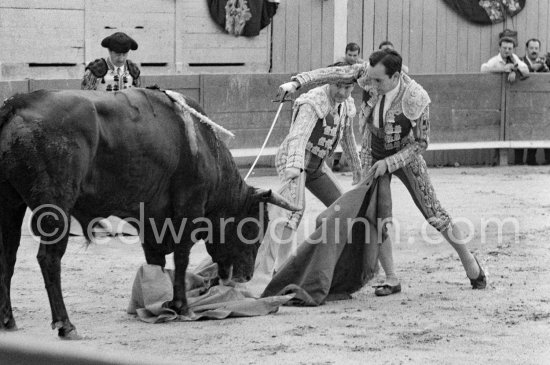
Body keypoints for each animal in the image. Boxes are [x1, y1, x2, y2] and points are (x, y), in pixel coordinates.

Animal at [0, 87, 298, 336]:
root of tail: (18, 103)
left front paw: (158, 304)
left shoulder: (151, 222)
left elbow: (156, 261)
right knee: (49, 259)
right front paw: (182, 307)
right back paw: (65, 324)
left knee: (8, 257)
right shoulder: (188, 210)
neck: (206, 150)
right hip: (56, 207)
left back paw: (8, 320)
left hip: (11, 204)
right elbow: (181, 258)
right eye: (253, 226)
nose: (246, 277)